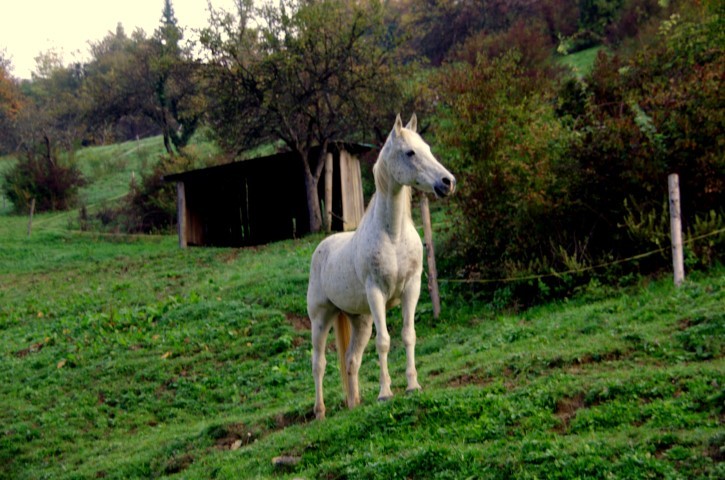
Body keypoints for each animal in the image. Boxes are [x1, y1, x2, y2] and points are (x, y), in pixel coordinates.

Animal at [306, 114, 452, 418]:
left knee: (351, 359)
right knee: (318, 363)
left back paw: (354, 403)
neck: (393, 235)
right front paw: (385, 394)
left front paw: (413, 386)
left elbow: (408, 335)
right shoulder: (376, 294)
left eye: (427, 148)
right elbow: (384, 341)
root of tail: (321, 249)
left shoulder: (412, 289)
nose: (447, 182)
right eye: (410, 152)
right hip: (321, 318)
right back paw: (320, 411)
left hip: (360, 320)